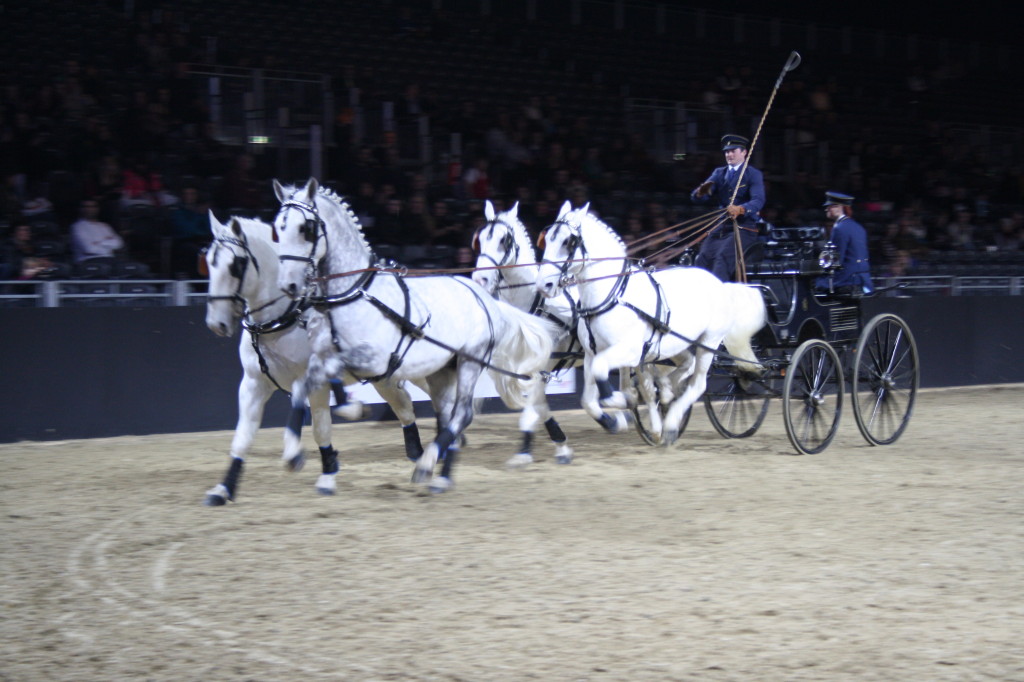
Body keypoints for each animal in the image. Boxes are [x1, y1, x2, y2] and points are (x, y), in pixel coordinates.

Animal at [201, 215, 425, 501]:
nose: (216, 324)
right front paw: (224, 488)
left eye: (236, 265)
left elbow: (319, 427)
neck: (284, 317)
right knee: (405, 406)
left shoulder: (313, 381)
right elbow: (243, 436)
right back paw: (418, 453)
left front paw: (307, 462)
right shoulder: (253, 384)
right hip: (384, 377)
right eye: (209, 262)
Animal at [276, 178, 557, 491]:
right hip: (441, 372)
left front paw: (350, 410)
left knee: (463, 414)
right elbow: (301, 386)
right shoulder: (322, 357)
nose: (288, 285)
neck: (354, 294)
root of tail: (483, 295)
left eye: (306, 228)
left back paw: (427, 466)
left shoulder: (373, 361)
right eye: (278, 227)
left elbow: (336, 370)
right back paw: (442, 475)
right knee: (447, 417)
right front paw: (292, 453)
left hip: (470, 362)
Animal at [473, 196, 630, 462]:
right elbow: (537, 405)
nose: (480, 279)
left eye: (504, 240)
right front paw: (554, 444)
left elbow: (536, 404)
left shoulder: (544, 367)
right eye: (480, 239)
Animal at [536, 200, 770, 446]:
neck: (612, 296)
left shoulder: (627, 351)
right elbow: (589, 400)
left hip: (709, 341)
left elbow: (610, 385)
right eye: (546, 238)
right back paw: (666, 392)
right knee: (685, 367)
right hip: (675, 344)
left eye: (568, 242)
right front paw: (619, 415)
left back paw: (671, 423)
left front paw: (626, 401)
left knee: (698, 383)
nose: (545, 285)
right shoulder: (592, 353)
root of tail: (720, 283)